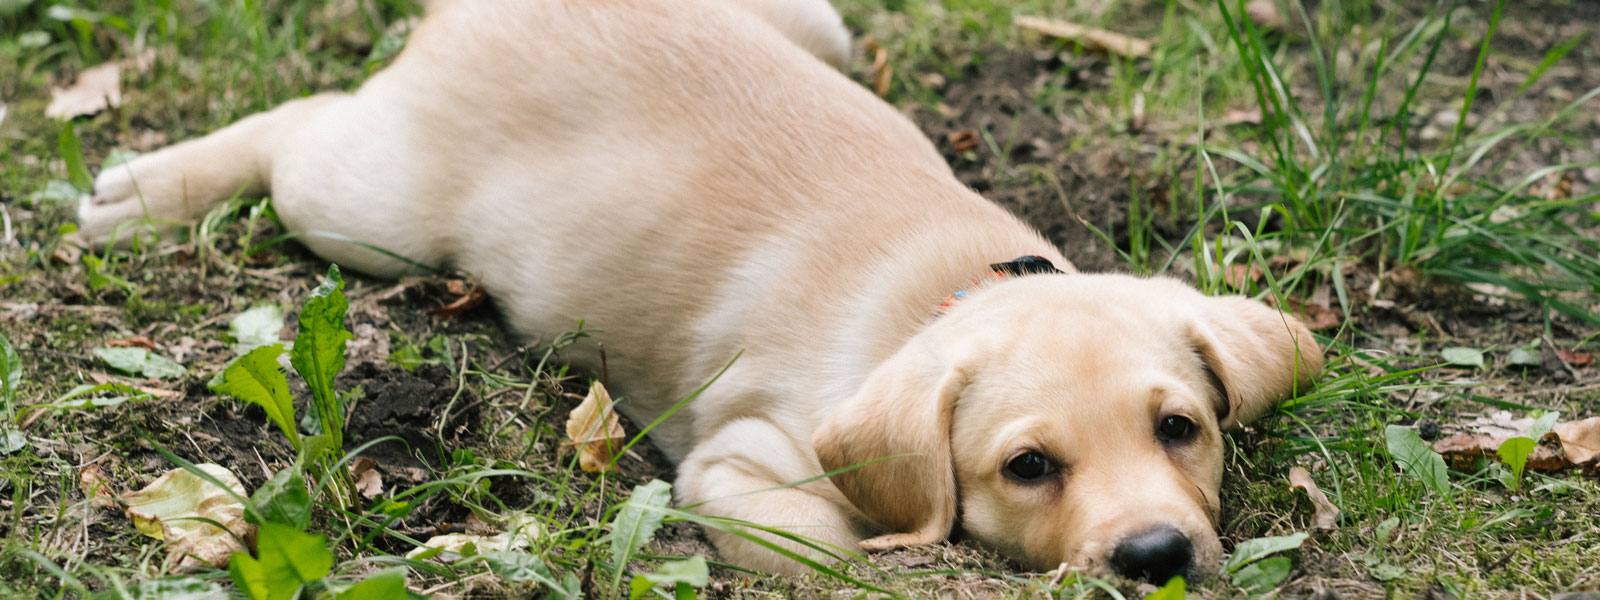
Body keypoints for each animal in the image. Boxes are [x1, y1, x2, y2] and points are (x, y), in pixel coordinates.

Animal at [78, 0, 1324, 585]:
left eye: (1181, 430)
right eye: (1027, 469)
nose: (1158, 560)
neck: (953, 293)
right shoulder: (738, 461)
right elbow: (833, 541)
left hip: (824, 26)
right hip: (366, 213)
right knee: (302, 125)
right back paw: (143, 189)